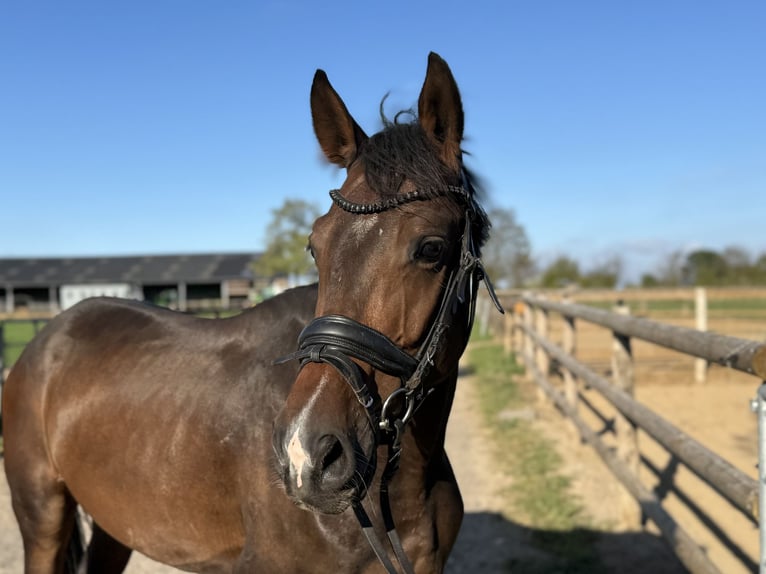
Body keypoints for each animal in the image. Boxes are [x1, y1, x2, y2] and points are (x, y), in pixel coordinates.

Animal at [3, 52, 502, 573]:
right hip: (41, 517)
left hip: (115, 524)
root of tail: (44, 341)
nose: (306, 454)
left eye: (431, 248)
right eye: (316, 245)